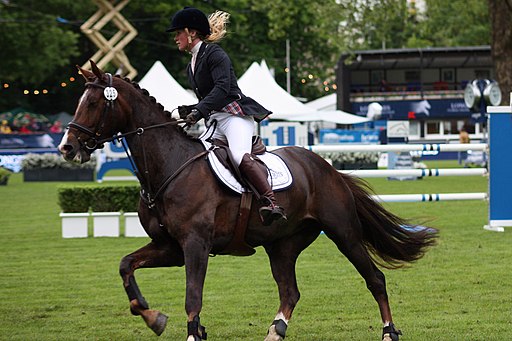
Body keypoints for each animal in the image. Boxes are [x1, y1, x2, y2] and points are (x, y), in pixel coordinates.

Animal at [59, 61, 436, 340]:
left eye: (93, 103)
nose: (67, 147)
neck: (168, 166)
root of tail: (326, 168)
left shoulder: (195, 244)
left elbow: (193, 295)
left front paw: (191, 332)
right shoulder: (170, 247)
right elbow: (126, 265)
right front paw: (153, 317)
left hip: (344, 232)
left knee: (375, 279)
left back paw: (389, 331)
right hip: (282, 244)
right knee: (290, 291)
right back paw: (275, 331)